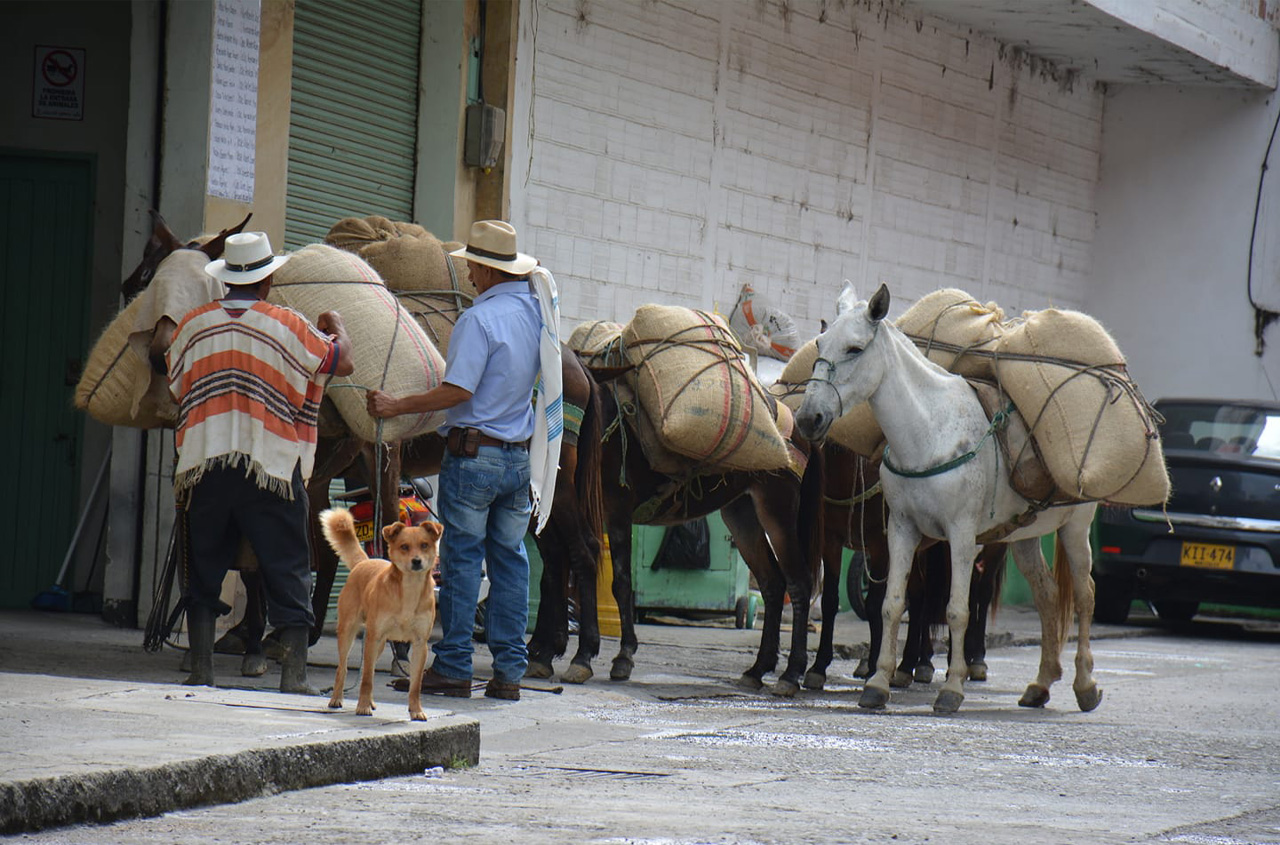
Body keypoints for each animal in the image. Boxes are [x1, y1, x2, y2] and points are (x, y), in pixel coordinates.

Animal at [320, 509, 445, 722]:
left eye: (424, 545)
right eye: (404, 546)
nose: (417, 561)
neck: (409, 590)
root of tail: (364, 562)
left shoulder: (420, 644)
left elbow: (415, 685)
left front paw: (416, 710)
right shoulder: (373, 636)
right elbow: (367, 679)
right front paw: (362, 707)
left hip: (377, 645)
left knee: (366, 670)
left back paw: (368, 700)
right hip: (350, 632)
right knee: (344, 668)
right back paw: (337, 698)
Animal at [788, 284, 1100, 711]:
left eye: (854, 348)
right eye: (819, 342)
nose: (808, 419)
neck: (929, 433)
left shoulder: (960, 536)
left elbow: (956, 610)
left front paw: (952, 688)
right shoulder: (900, 530)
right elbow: (891, 603)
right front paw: (878, 683)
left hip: (1073, 529)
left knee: (1083, 597)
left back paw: (1084, 685)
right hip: (1024, 536)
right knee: (1047, 596)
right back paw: (1041, 683)